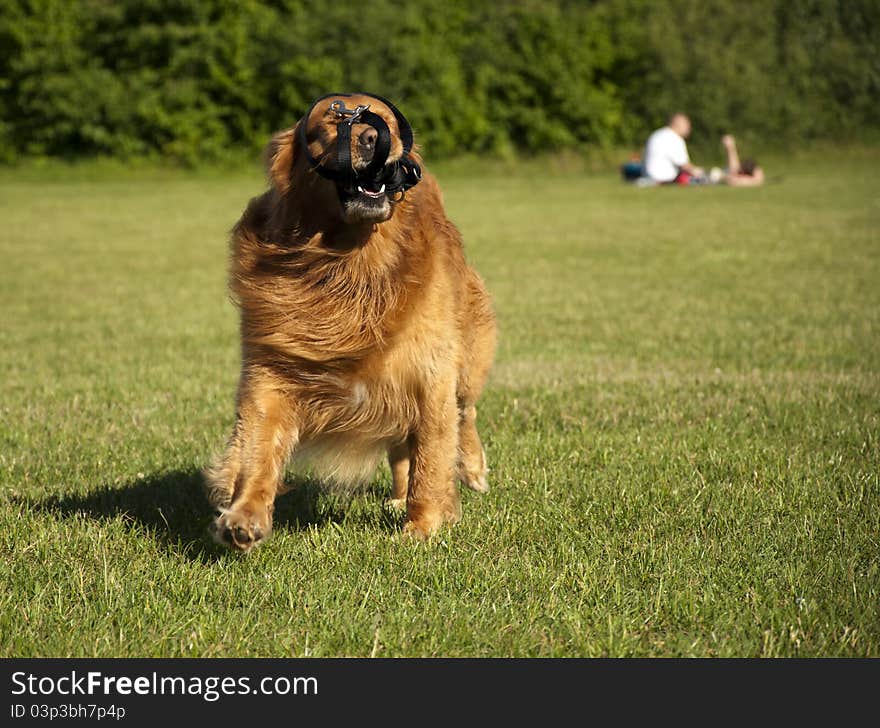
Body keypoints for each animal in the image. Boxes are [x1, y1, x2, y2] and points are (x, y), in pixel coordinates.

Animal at [205, 91, 496, 548]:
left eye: (388, 123)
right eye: (333, 118)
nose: (373, 138)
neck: (347, 263)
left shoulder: (430, 371)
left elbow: (432, 457)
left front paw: (424, 527)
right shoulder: (271, 369)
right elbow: (256, 448)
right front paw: (244, 515)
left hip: (466, 356)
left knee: (464, 413)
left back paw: (471, 468)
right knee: (403, 449)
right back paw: (398, 498)